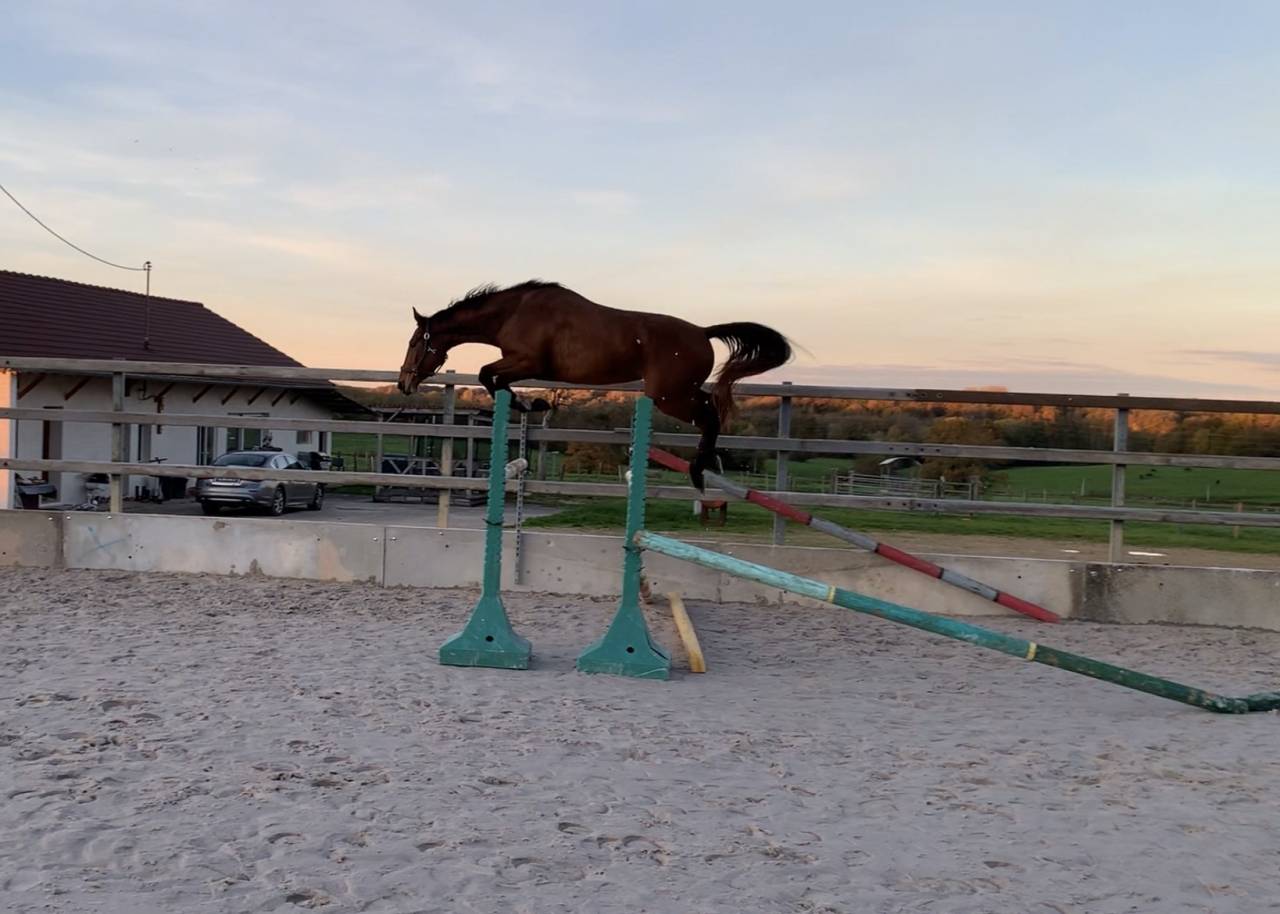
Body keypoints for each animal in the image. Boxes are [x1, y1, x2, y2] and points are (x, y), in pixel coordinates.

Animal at [397, 281, 792, 490]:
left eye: (415, 342)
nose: (404, 382)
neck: (514, 312)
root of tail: (703, 332)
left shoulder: (529, 362)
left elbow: (486, 375)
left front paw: (530, 405)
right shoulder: (520, 365)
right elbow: (495, 380)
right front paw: (532, 405)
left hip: (670, 396)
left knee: (710, 416)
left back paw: (698, 472)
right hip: (679, 391)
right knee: (713, 408)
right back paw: (705, 465)